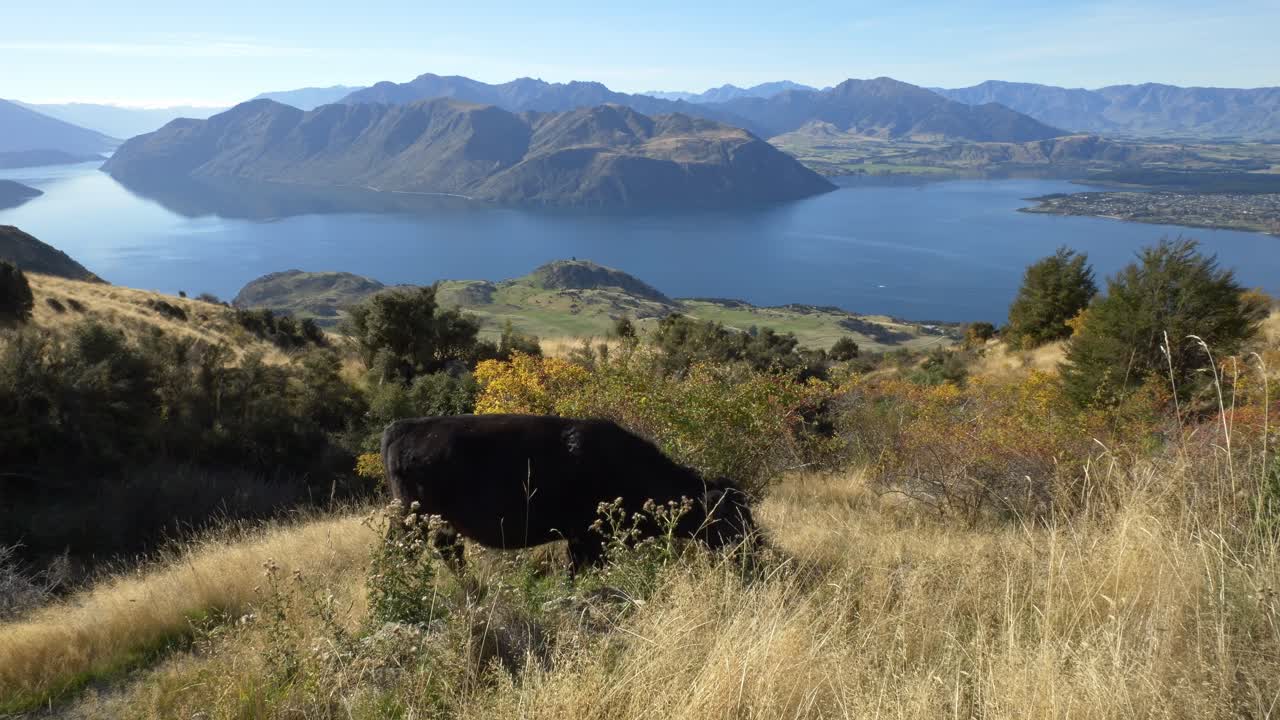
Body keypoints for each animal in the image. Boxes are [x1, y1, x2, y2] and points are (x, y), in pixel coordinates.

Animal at [380, 414, 757, 572]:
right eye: (728, 518)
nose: (756, 546)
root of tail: (403, 427)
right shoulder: (586, 540)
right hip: (412, 519)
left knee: (450, 553)